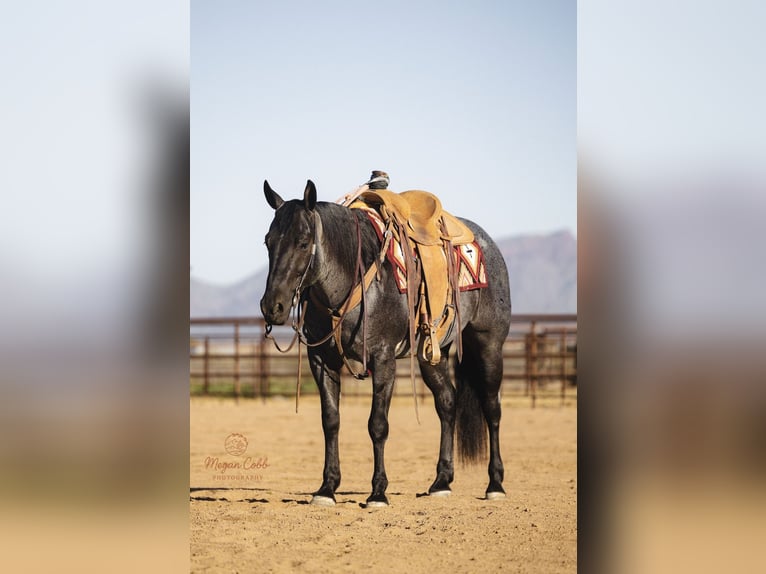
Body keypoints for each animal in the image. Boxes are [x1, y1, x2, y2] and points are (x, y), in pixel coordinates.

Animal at [260, 179, 511, 507]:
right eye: (268, 242)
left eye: (303, 242)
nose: (272, 307)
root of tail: (485, 243)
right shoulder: (322, 360)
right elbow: (331, 421)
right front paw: (327, 488)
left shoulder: (383, 359)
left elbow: (377, 424)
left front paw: (378, 491)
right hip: (432, 354)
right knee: (447, 403)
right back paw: (441, 482)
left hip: (489, 344)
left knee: (492, 408)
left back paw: (495, 484)